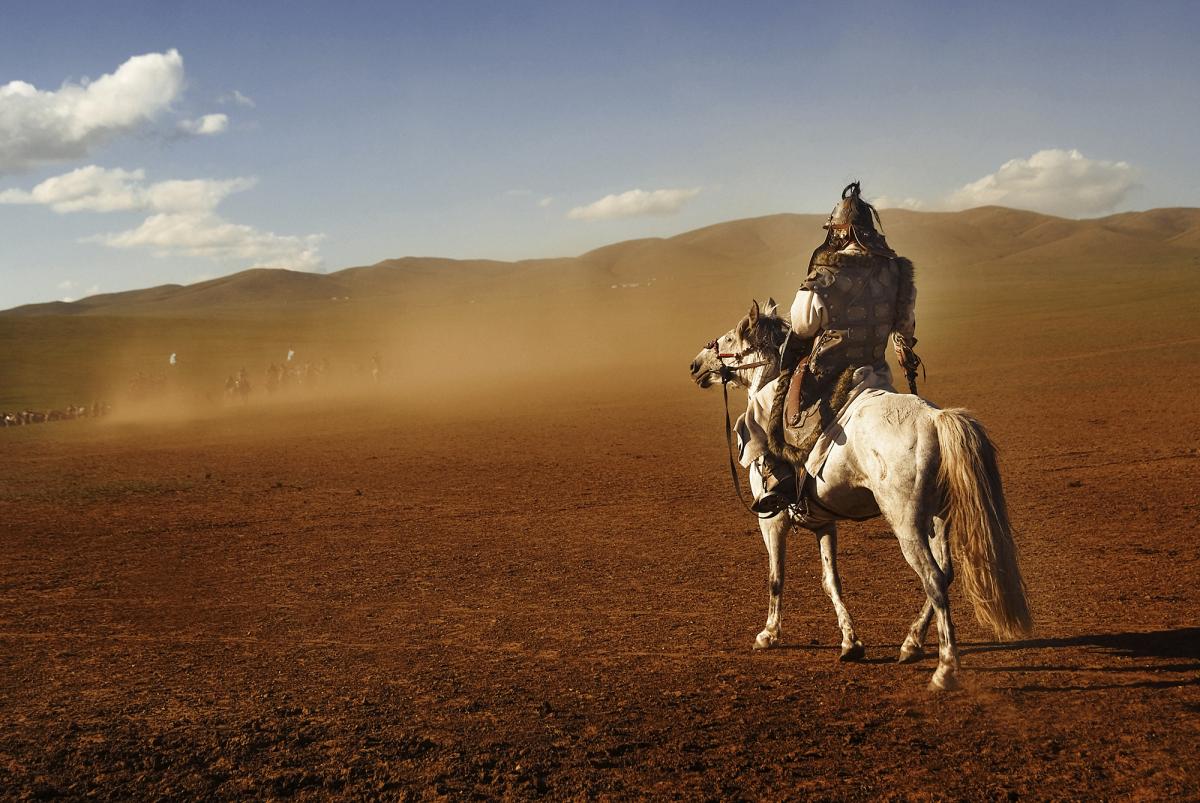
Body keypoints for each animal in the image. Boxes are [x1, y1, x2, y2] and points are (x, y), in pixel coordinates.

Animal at [696, 297, 1032, 686]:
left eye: (730, 337)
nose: (696, 365)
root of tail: (934, 420)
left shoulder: (772, 520)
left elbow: (775, 577)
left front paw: (768, 635)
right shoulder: (824, 522)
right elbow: (831, 581)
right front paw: (850, 642)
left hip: (906, 523)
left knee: (933, 578)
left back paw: (945, 667)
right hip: (937, 517)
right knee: (945, 573)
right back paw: (912, 643)